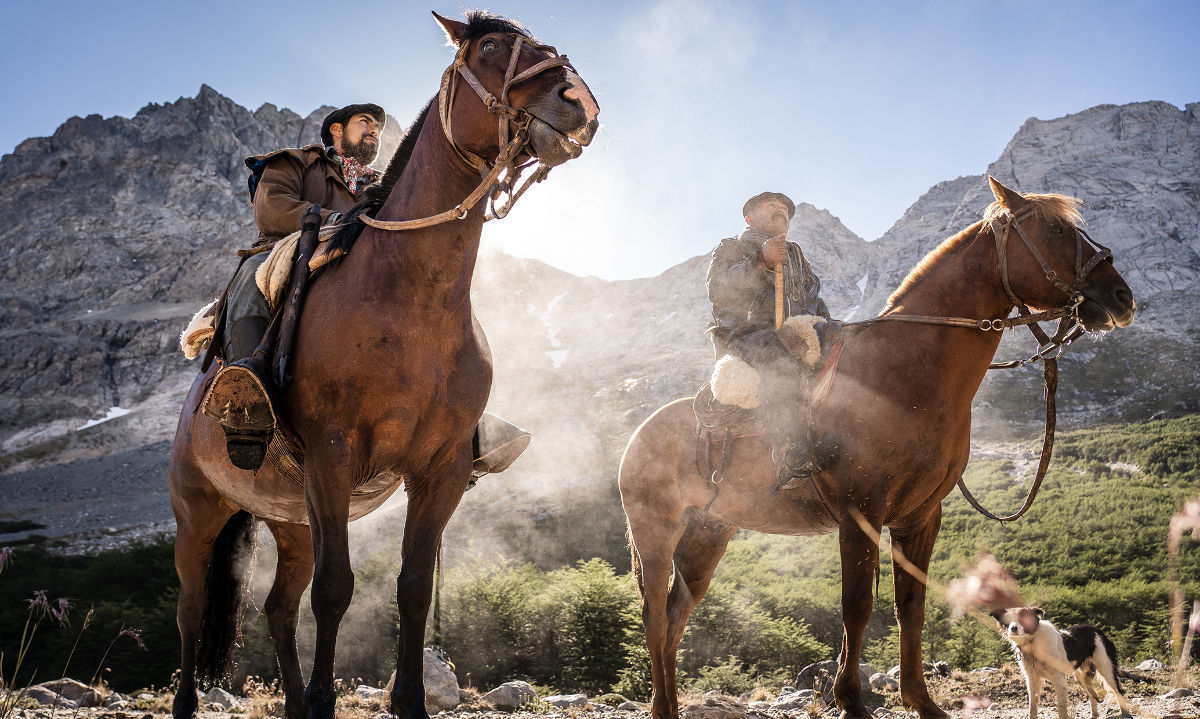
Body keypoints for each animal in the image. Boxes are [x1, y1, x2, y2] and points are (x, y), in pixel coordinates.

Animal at [169, 9, 600, 719]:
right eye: (489, 46)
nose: (580, 104)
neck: (410, 301)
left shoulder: (440, 470)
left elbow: (413, 588)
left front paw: (410, 703)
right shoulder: (333, 455)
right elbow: (337, 589)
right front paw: (325, 700)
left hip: (293, 524)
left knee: (278, 609)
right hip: (198, 512)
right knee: (192, 607)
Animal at [993, 609, 1132, 715]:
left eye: (1023, 619)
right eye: (1007, 620)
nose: (1013, 628)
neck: (1032, 641)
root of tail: (1096, 630)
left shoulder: (1058, 679)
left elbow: (1061, 708)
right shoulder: (1032, 679)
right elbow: (1032, 707)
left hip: (1106, 669)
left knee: (1118, 691)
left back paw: (1125, 714)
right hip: (1080, 675)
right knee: (1092, 695)